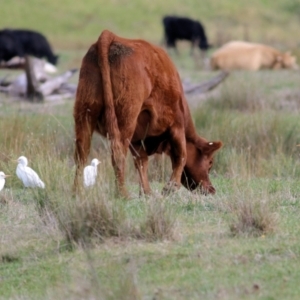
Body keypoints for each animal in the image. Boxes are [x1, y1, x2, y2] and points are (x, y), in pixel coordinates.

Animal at [73, 30, 223, 198]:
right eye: (210, 162)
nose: (212, 189)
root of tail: (109, 35)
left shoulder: (137, 140)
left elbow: (141, 162)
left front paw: (146, 192)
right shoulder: (176, 125)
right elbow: (181, 156)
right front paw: (170, 187)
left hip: (85, 114)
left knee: (81, 154)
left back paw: (76, 193)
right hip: (125, 118)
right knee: (117, 152)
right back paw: (122, 193)